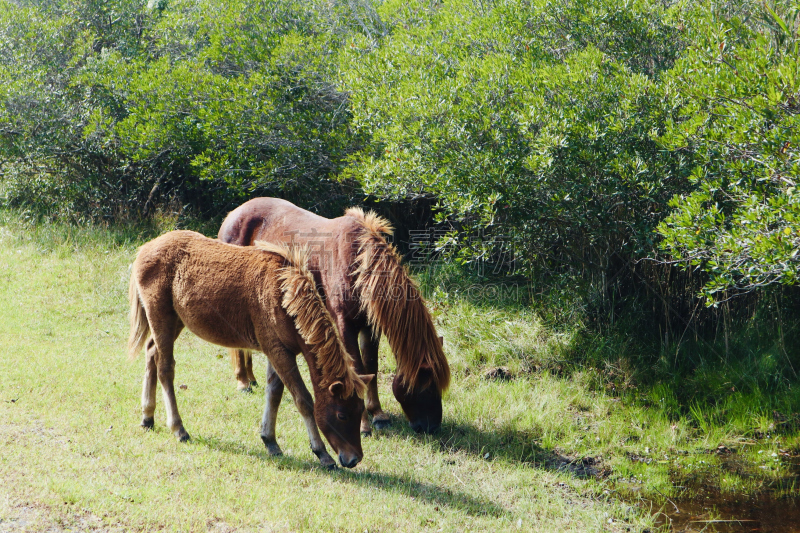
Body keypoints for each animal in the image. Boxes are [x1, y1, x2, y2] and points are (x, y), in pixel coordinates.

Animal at [127, 229, 372, 466]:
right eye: (341, 415)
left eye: (361, 410)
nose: (353, 459)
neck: (283, 294)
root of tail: (145, 249)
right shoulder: (279, 352)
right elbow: (303, 399)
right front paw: (322, 453)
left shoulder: (278, 350)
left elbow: (274, 393)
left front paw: (270, 441)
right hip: (161, 317)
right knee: (165, 369)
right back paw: (179, 429)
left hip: (175, 321)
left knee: (151, 353)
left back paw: (147, 417)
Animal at [219, 197, 450, 434]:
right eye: (428, 387)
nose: (432, 427)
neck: (357, 264)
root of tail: (234, 214)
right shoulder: (344, 325)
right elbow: (357, 369)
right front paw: (364, 424)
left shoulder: (368, 326)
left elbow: (371, 366)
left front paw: (378, 414)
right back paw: (243, 382)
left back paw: (251, 378)